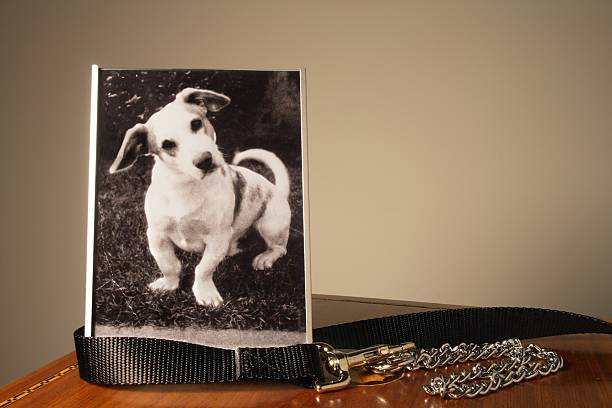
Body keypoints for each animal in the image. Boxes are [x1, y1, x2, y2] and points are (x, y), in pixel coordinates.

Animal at [110, 88, 292, 306]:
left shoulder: (217, 238)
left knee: (280, 248)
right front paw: (169, 284)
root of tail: (279, 191)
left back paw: (265, 257)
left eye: (196, 123)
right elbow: (169, 264)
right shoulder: (156, 235)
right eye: (167, 144)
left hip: (270, 226)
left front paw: (205, 293)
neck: (185, 187)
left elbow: (203, 269)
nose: (204, 160)